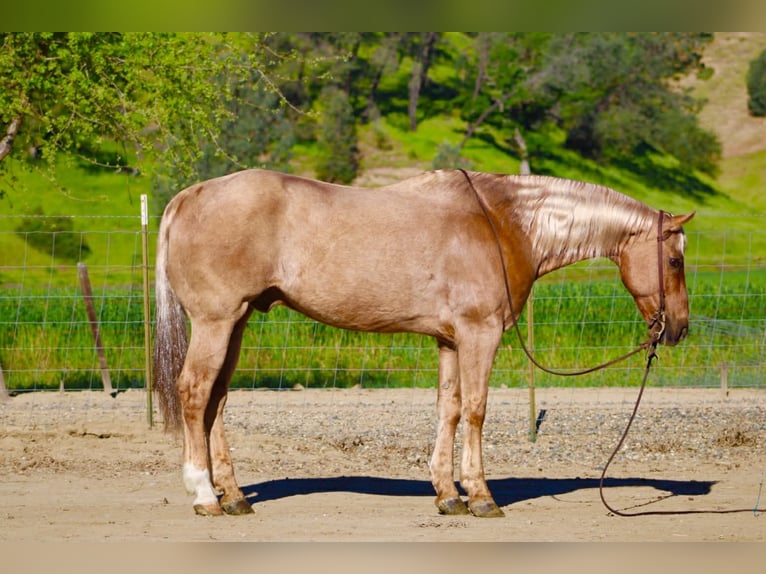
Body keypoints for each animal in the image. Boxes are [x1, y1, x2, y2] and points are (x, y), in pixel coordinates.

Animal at [153, 168, 694, 518]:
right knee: (195, 393)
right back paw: (204, 495)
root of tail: (187, 197)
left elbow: (448, 409)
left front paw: (447, 493)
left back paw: (233, 495)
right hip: (216, 322)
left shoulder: (450, 341)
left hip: (237, 323)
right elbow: (475, 409)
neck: (503, 223)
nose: (679, 328)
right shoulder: (480, 334)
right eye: (675, 260)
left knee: (217, 401)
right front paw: (481, 496)